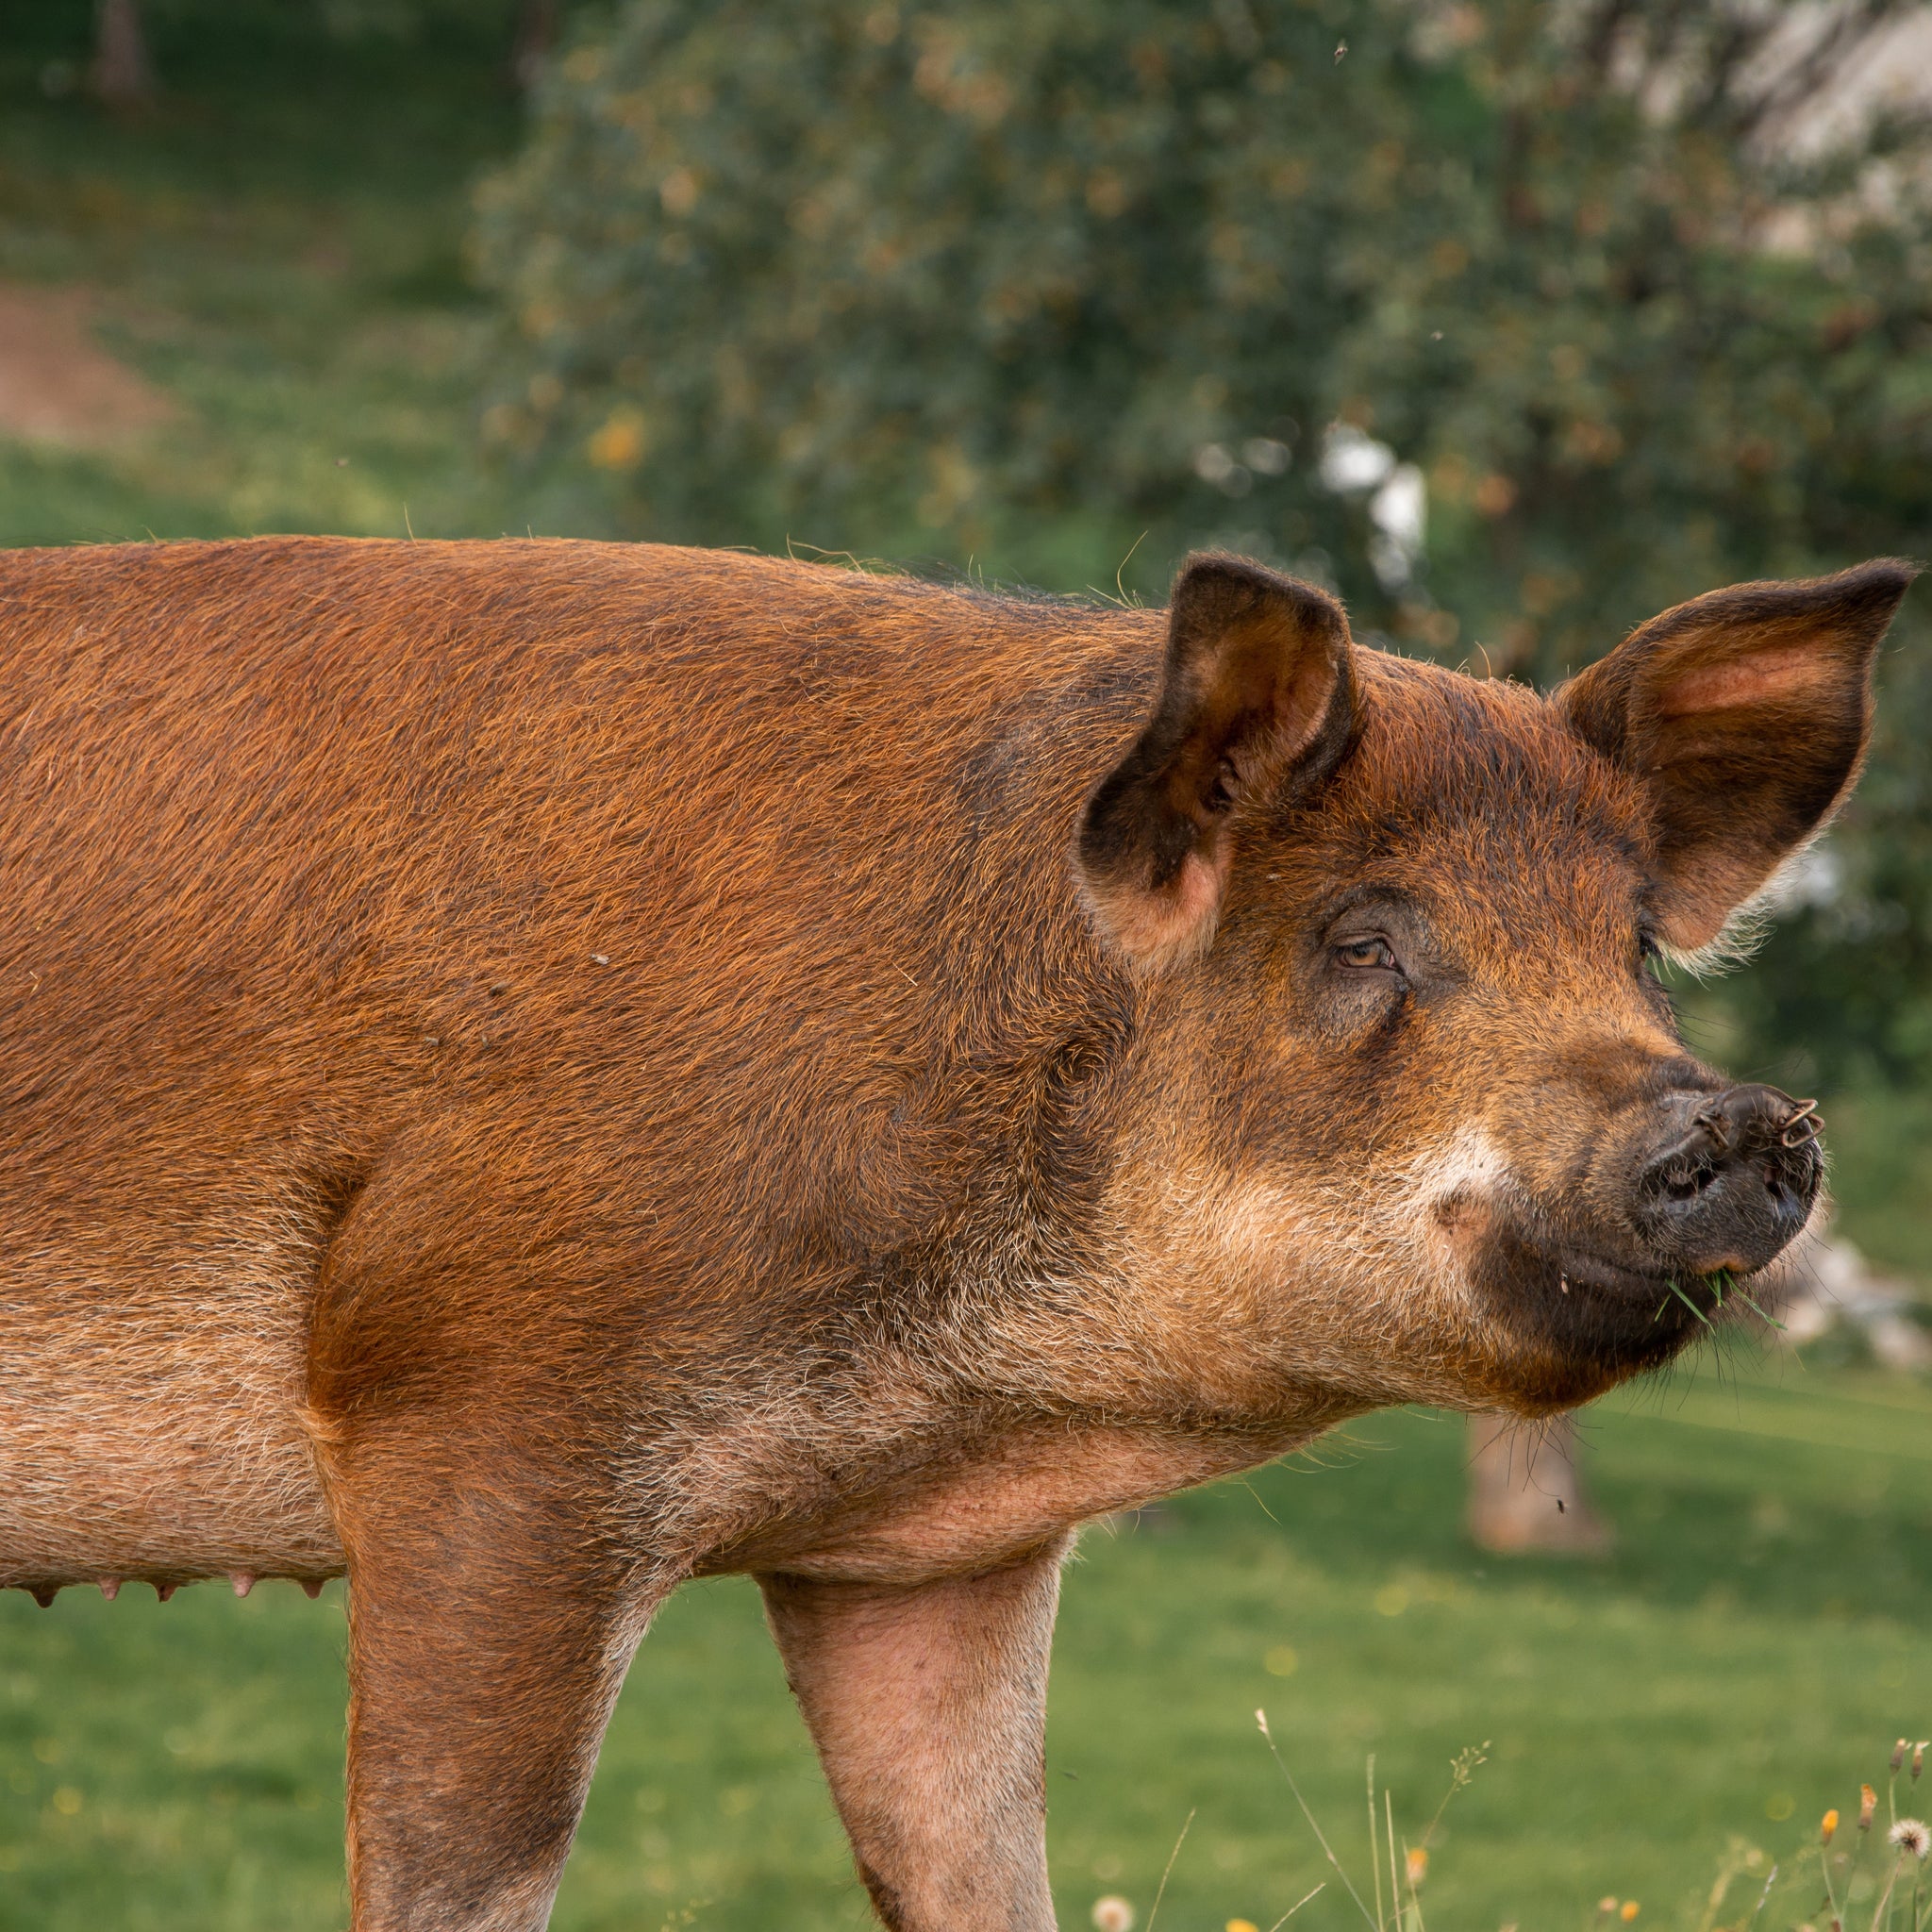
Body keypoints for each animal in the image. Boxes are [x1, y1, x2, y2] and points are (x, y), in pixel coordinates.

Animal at [0, 537, 1911, 1930]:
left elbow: (980, 1869)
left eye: (1633, 947)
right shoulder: (475, 1407)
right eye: (1365, 939)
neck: (990, 1386)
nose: (1739, 1118)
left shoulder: (919, 1560)